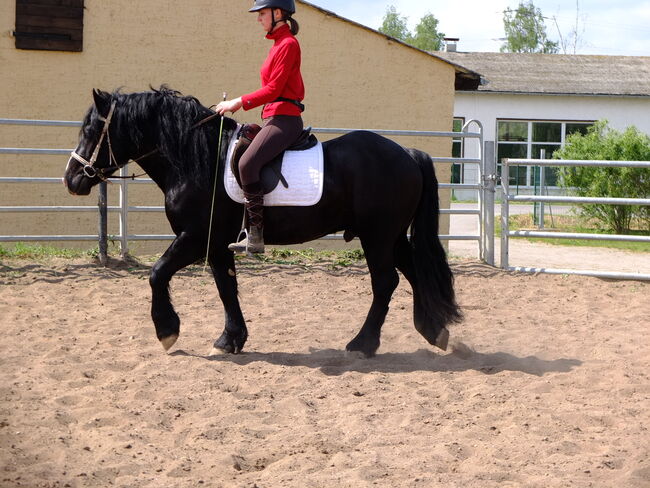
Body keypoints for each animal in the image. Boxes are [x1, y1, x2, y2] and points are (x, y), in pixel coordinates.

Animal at [63, 86, 458, 356]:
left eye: (92, 130)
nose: (71, 179)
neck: (196, 159)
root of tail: (407, 152)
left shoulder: (194, 237)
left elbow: (157, 274)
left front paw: (168, 331)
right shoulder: (216, 243)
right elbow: (226, 287)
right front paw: (230, 339)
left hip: (377, 237)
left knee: (386, 283)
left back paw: (363, 343)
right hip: (392, 236)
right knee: (414, 273)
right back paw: (434, 330)